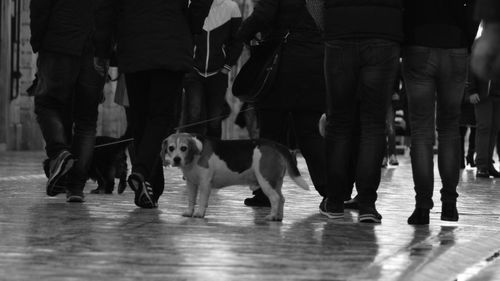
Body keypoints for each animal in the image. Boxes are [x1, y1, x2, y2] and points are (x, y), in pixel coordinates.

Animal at [160, 132, 308, 220]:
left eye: (184, 148)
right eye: (171, 148)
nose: (177, 159)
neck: (196, 154)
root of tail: (276, 145)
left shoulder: (205, 184)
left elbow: (201, 201)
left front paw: (199, 213)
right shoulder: (191, 183)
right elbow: (191, 200)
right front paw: (189, 212)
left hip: (265, 181)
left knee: (276, 198)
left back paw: (271, 216)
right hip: (275, 182)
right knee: (282, 198)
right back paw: (279, 217)